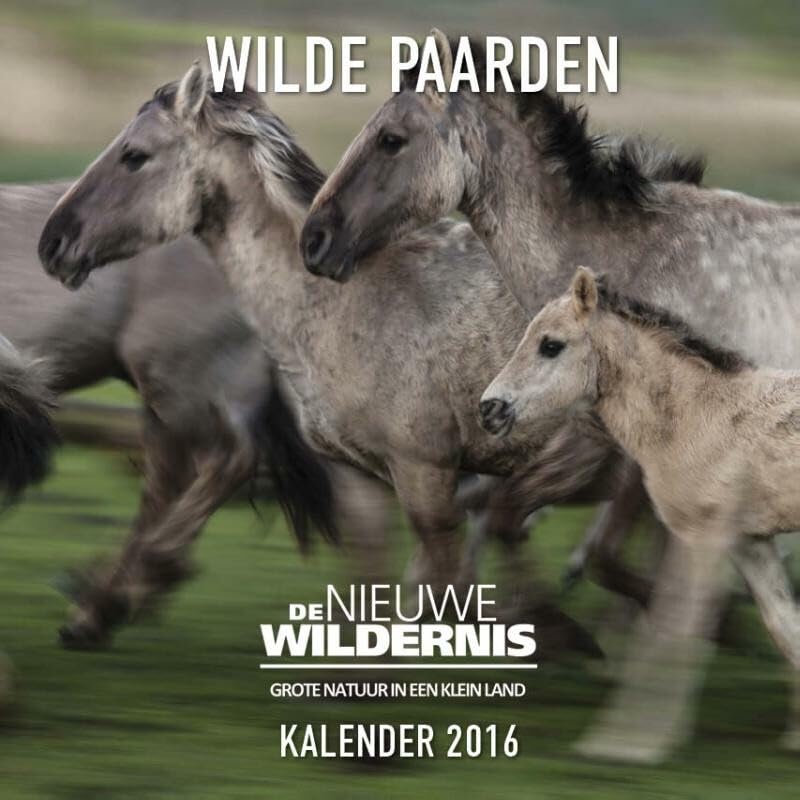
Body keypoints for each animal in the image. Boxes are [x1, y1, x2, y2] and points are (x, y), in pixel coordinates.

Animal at [1, 182, 337, 649]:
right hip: (169, 395)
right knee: (166, 487)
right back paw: (101, 609)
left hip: (180, 380)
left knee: (223, 464)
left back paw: (123, 590)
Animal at [482, 266, 800, 762]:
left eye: (550, 345)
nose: (490, 409)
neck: (699, 415)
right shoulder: (749, 543)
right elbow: (786, 630)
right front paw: (795, 736)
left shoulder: (700, 537)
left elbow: (674, 627)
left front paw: (628, 743)